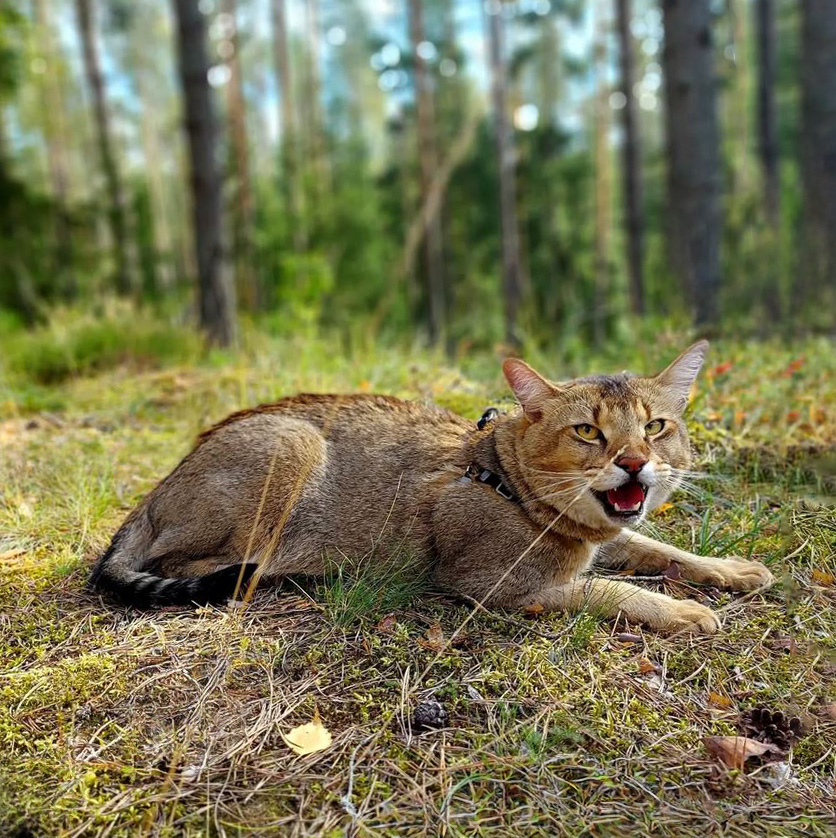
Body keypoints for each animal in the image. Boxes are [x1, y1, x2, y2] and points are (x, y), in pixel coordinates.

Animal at [88, 342, 772, 636]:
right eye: (587, 432)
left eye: (655, 427)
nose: (633, 463)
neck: (505, 480)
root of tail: (153, 493)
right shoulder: (496, 583)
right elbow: (612, 591)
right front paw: (682, 611)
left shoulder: (610, 537)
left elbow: (664, 551)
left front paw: (731, 570)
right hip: (291, 446)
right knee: (196, 565)